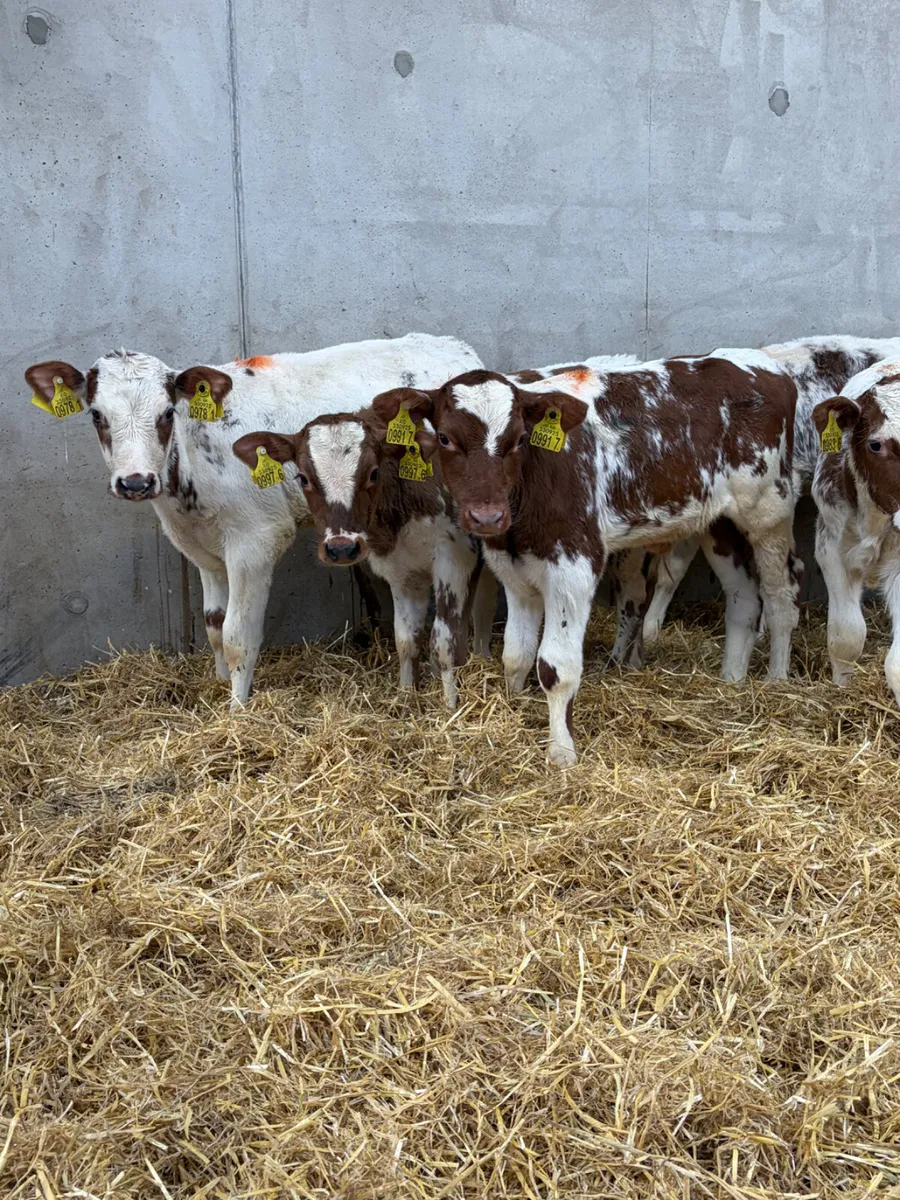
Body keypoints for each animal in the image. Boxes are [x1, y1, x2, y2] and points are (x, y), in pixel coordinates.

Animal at [232, 408, 497, 708]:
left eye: (373, 472)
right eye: (303, 477)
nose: (342, 549)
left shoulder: (454, 559)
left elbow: (445, 641)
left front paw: (450, 704)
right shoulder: (403, 574)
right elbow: (406, 640)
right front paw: (406, 696)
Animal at [371, 351, 799, 765]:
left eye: (520, 438)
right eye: (444, 437)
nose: (487, 517)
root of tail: (764, 369)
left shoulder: (573, 566)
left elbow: (555, 667)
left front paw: (562, 753)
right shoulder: (514, 572)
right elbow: (516, 655)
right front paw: (515, 709)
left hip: (770, 513)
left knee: (781, 597)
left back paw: (777, 679)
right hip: (720, 522)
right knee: (745, 597)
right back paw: (732, 679)